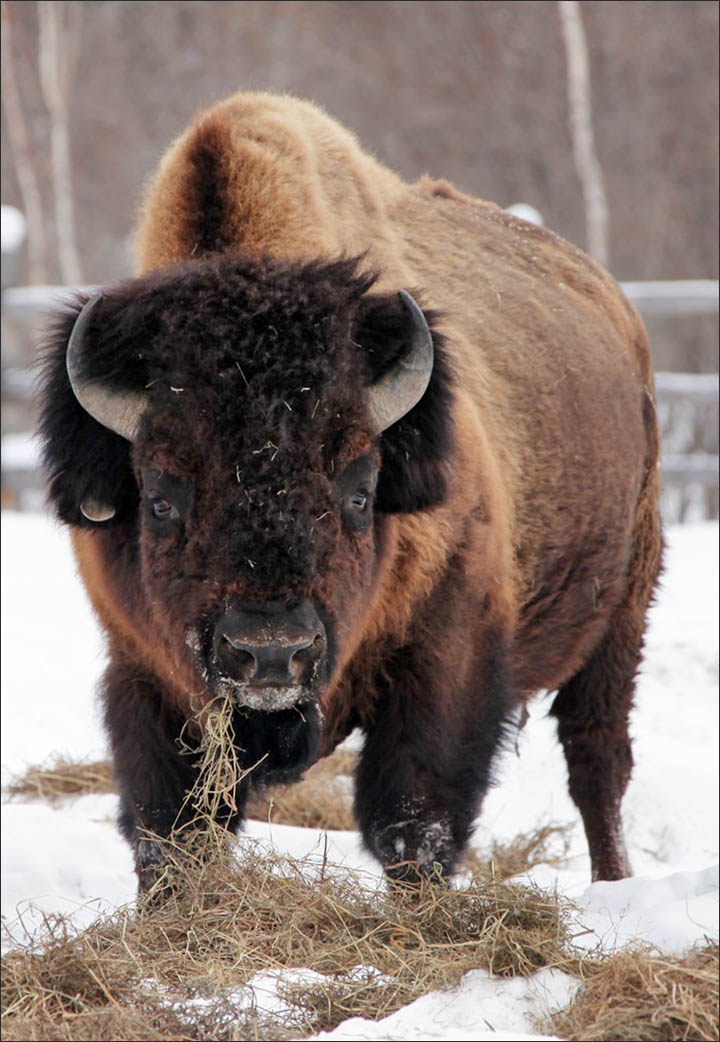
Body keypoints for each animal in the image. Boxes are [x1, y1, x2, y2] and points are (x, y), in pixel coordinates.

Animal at [38, 89, 658, 891]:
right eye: (161, 499)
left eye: (360, 492)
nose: (272, 654)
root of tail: (612, 303)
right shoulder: (145, 675)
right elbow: (170, 833)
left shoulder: (446, 657)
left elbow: (414, 823)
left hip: (623, 612)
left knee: (596, 758)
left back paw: (613, 882)